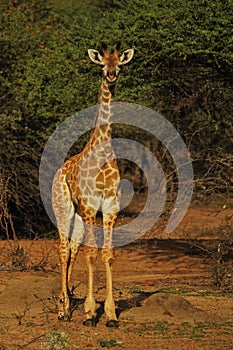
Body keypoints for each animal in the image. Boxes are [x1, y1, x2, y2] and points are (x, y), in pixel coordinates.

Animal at [52, 42, 134, 326]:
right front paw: (89, 312)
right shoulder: (90, 206)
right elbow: (91, 253)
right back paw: (63, 310)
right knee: (63, 249)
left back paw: (66, 306)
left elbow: (107, 254)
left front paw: (110, 314)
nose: (111, 75)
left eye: (119, 64)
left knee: (72, 249)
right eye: (101, 65)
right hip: (63, 208)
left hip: (76, 216)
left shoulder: (110, 206)